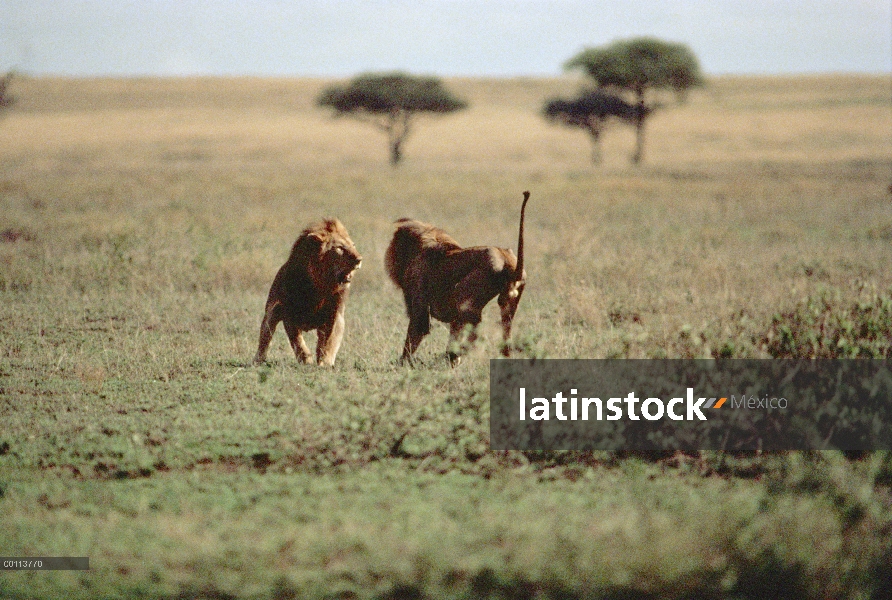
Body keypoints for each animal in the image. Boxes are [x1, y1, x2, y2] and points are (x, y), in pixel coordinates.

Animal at [253, 219, 360, 366]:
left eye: (353, 245)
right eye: (340, 248)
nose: (359, 259)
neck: (322, 284)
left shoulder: (335, 313)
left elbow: (330, 340)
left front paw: (325, 361)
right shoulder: (289, 313)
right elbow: (297, 341)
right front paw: (306, 359)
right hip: (271, 311)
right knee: (265, 337)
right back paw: (258, 360)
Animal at [386, 191, 528, 366]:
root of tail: (507, 261)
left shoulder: (418, 295)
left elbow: (417, 331)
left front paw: (402, 363)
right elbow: (454, 330)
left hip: (462, 293)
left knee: (476, 333)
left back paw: (453, 354)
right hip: (508, 301)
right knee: (505, 327)